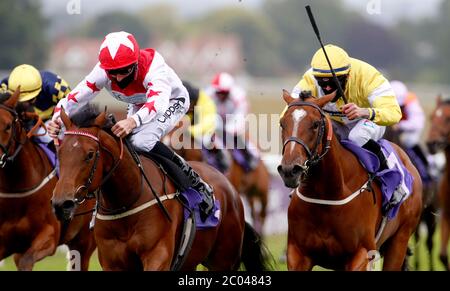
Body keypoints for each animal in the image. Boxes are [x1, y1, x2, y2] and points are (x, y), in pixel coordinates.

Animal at [50, 105, 268, 272]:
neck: (126, 201)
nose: (62, 203)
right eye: (59, 151)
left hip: (224, 260)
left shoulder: (158, 254)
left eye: (89, 154)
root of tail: (230, 191)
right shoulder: (113, 262)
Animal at [278, 90, 422, 272]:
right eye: (282, 123)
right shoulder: (297, 254)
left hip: (399, 240)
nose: (290, 170)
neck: (326, 197)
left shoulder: (362, 253)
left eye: (316, 124)